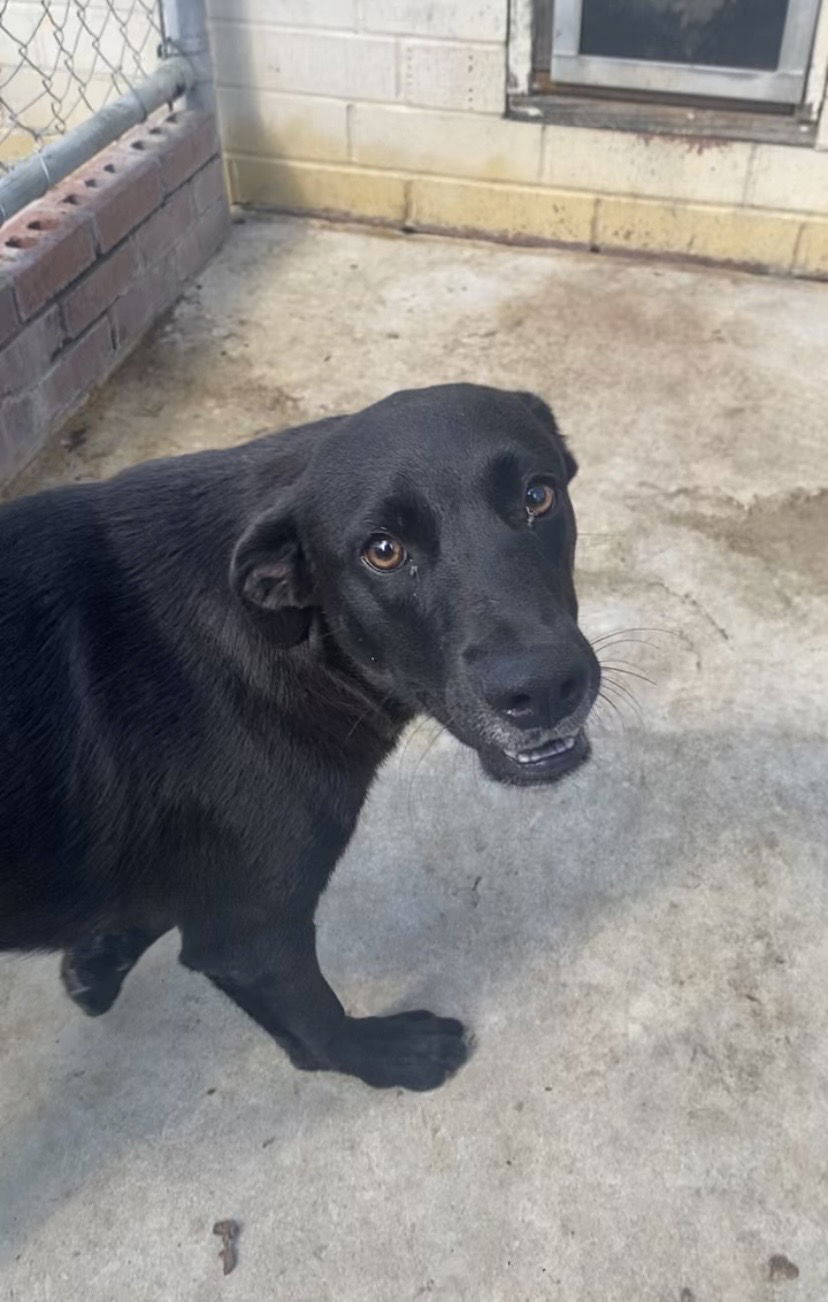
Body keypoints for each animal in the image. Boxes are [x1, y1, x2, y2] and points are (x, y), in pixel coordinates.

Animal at [0, 382, 596, 1088]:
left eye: (538, 496)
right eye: (383, 551)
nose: (543, 688)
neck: (289, 638)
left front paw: (102, 950)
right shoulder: (251, 935)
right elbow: (315, 1025)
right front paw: (387, 1053)